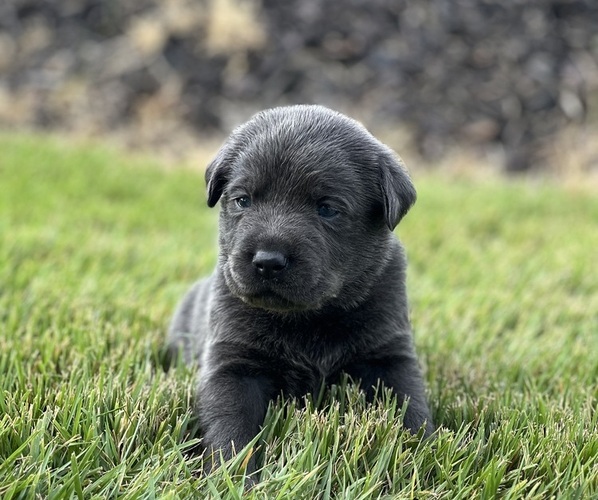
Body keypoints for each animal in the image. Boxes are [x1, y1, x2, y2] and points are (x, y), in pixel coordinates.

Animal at [166, 104, 434, 472]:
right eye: (243, 200)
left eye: (327, 208)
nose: (267, 261)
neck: (309, 318)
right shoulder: (232, 363)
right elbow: (232, 426)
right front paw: (233, 476)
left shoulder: (389, 356)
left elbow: (410, 408)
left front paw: (425, 457)